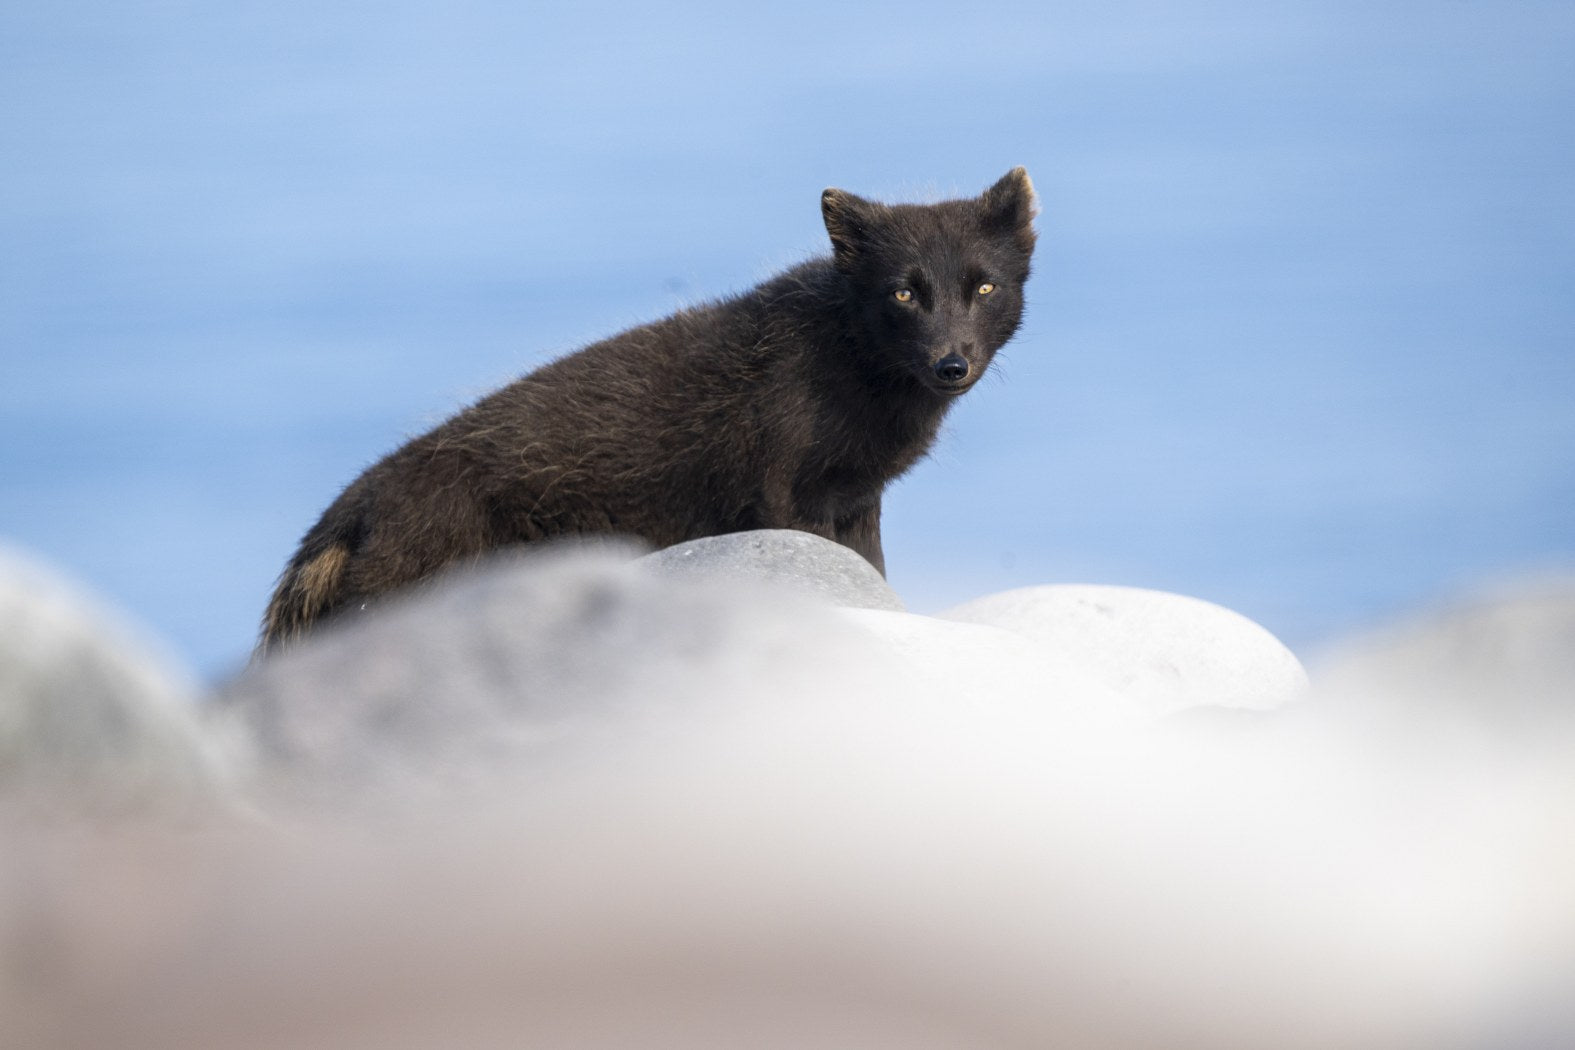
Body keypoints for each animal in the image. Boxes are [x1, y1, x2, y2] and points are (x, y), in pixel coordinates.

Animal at [259, 168, 1038, 653]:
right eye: (903, 292)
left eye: (985, 286)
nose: (951, 363)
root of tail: (349, 512)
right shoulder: (782, 489)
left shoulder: (857, 498)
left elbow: (873, 571)